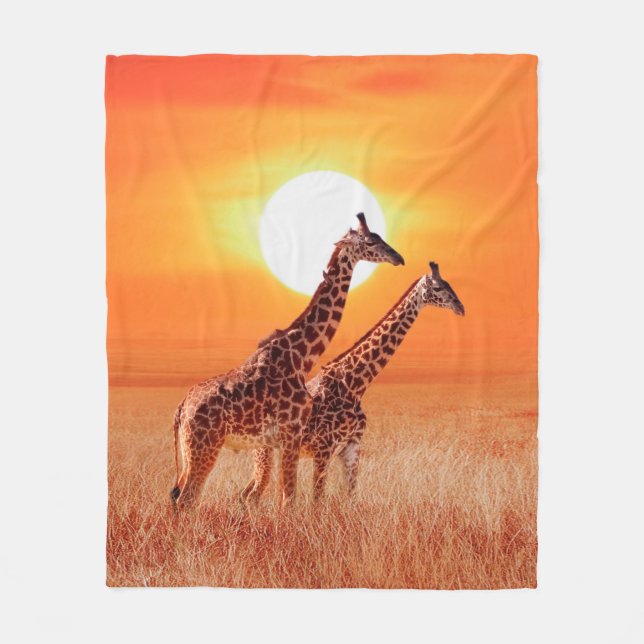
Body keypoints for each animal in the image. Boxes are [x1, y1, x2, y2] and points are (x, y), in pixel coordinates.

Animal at [170, 213, 405, 510]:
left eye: (379, 236)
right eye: (371, 241)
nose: (398, 257)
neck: (302, 357)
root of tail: (180, 409)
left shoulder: (285, 440)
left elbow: (286, 498)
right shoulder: (291, 433)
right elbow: (289, 500)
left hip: (190, 450)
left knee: (178, 495)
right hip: (205, 446)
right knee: (187, 498)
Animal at [241, 261, 464, 502]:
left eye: (449, 284)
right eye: (438, 287)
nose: (461, 308)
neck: (355, 384)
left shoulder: (352, 446)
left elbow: (350, 497)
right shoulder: (324, 448)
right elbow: (317, 501)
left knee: (246, 494)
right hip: (266, 451)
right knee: (252, 494)